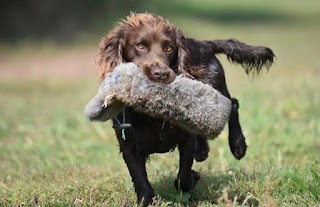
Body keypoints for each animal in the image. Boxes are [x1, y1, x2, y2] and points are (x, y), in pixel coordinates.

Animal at [95, 12, 276, 205]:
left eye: (169, 48)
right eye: (140, 46)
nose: (161, 74)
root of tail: (205, 44)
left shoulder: (186, 138)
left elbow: (182, 178)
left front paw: (193, 177)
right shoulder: (129, 144)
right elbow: (139, 177)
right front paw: (147, 199)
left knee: (232, 104)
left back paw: (238, 145)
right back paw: (203, 150)